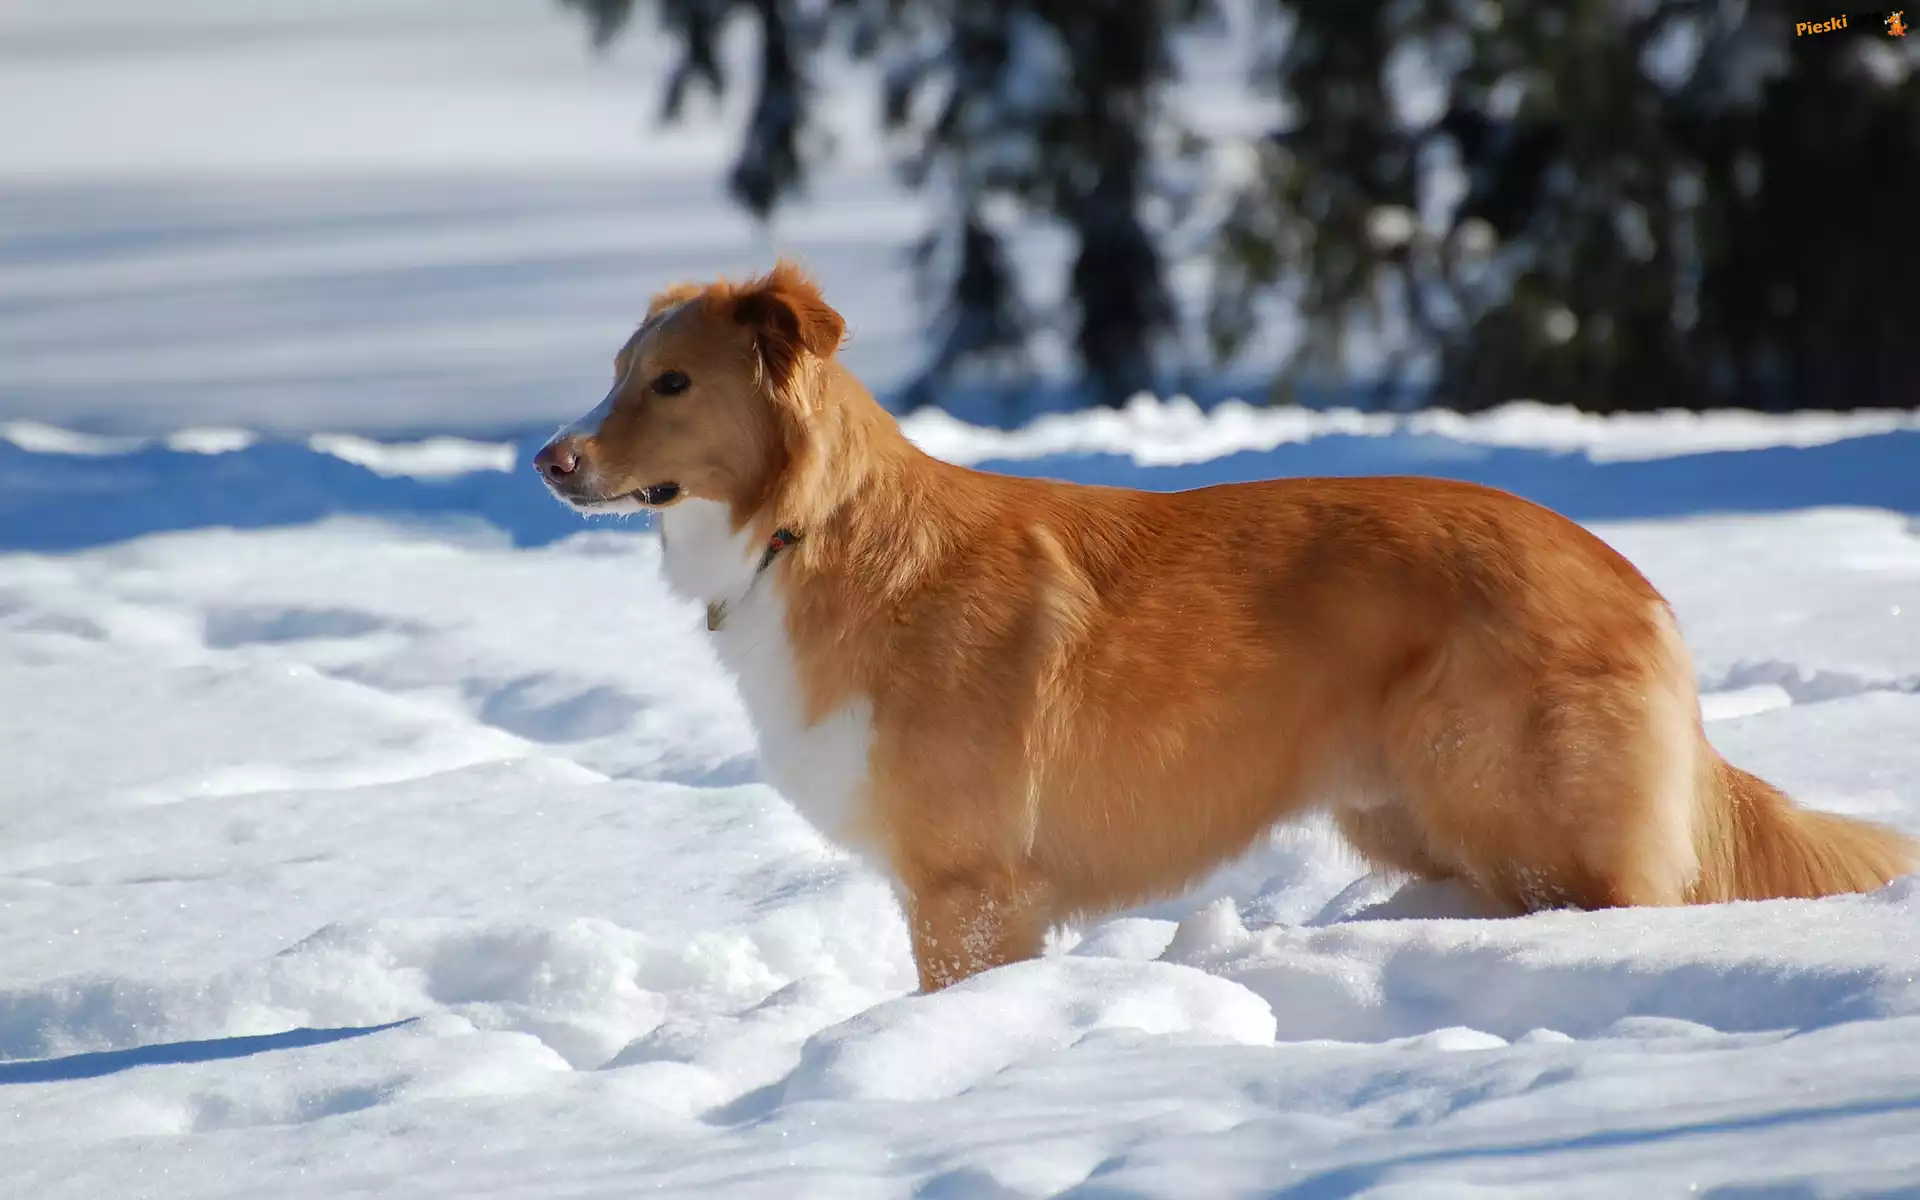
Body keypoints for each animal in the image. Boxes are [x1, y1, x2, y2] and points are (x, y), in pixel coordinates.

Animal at [536, 261, 1914, 992]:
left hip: (1529, 822)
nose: (549, 462)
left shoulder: (970, 888)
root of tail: (1627, 576)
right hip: (1418, 820)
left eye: (672, 384)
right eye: (614, 375)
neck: (808, 527)